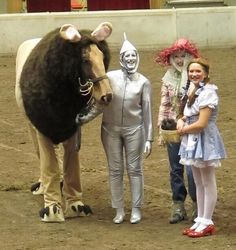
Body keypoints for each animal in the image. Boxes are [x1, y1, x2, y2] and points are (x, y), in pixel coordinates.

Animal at [15, 23, 113, 223]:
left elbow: (70, 169)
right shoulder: (43, 130)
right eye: (85, 60)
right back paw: (42, 186)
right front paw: (52, 208)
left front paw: (76, 205)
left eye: (101, 57)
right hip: (32, 127)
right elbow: (50, 167)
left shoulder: (72, 132)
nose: (107, 95)